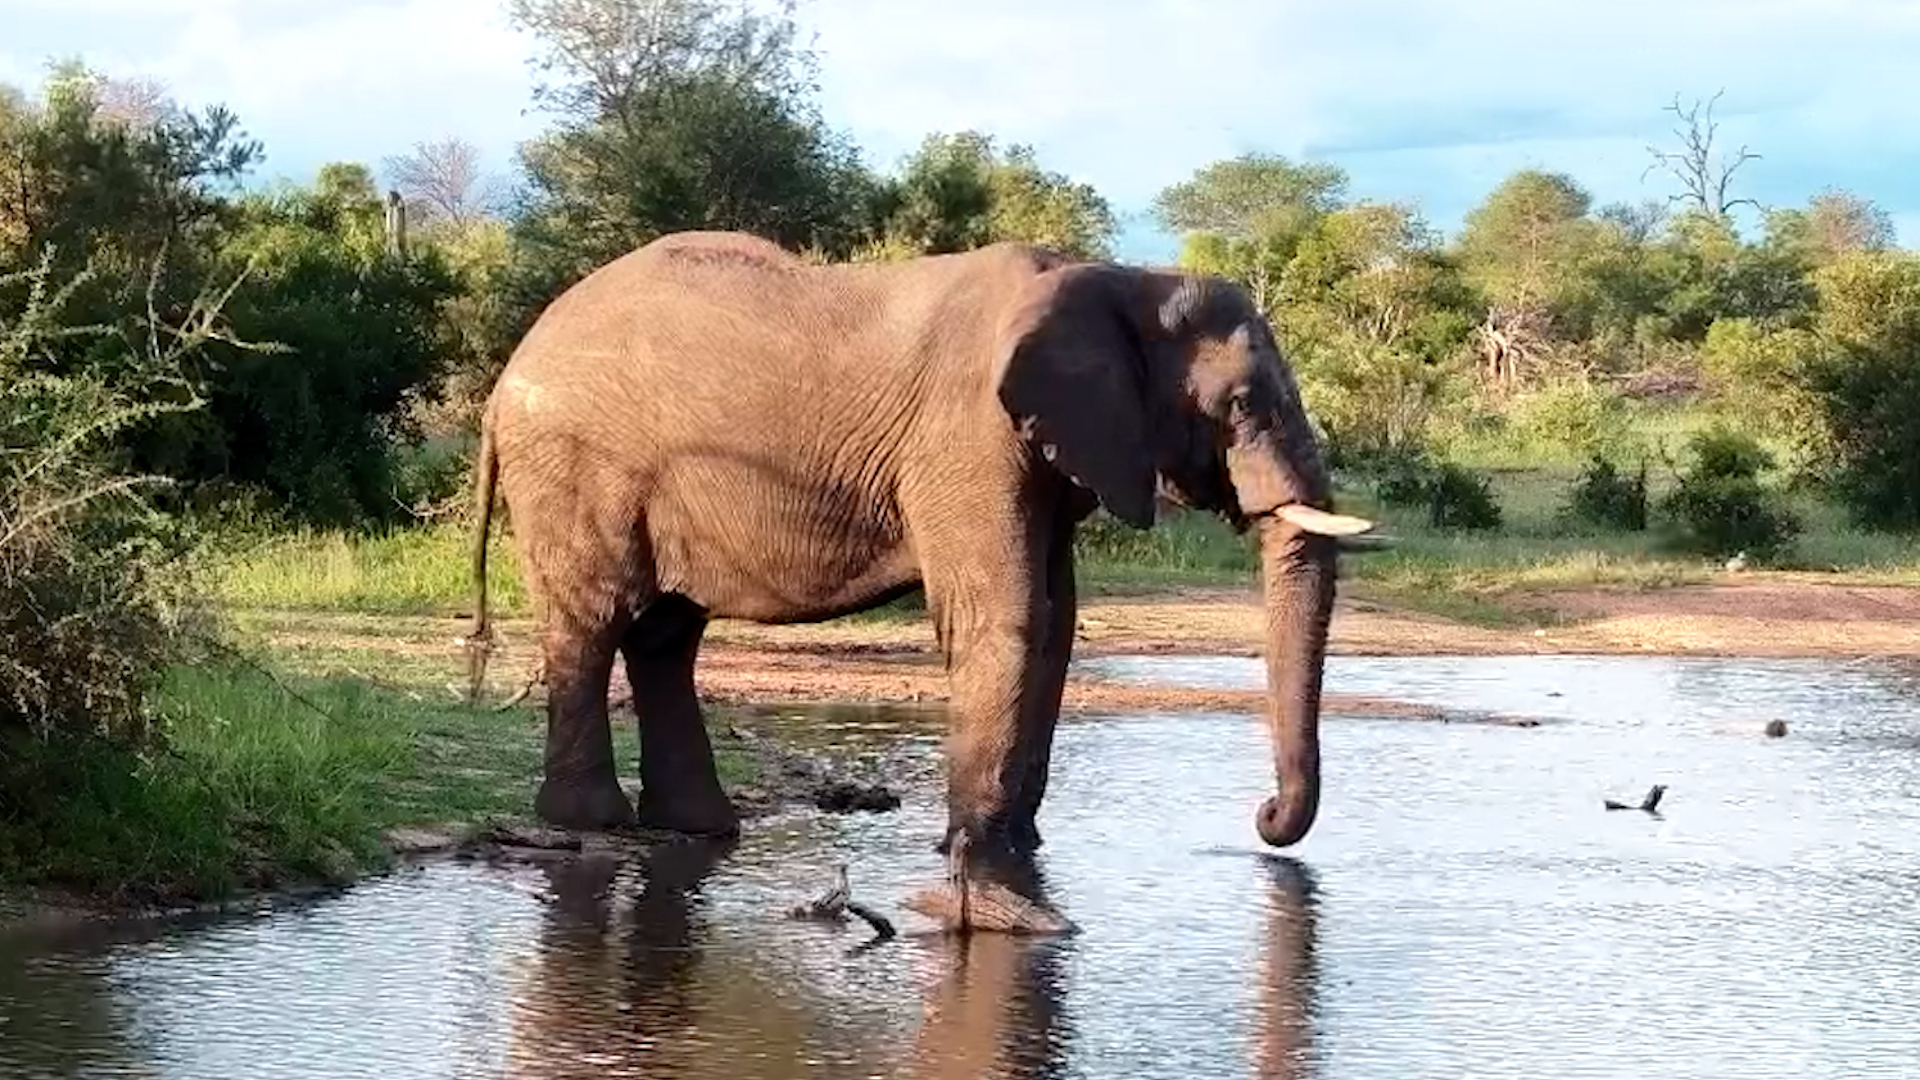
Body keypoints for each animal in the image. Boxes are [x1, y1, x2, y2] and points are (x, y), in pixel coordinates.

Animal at [465, 229, 1372, 869]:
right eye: (1242, 404)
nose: (1263, 819)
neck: (1119, 277)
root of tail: (504, 381)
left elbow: (1056, 623)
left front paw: (1015, 851)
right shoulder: (966, 434)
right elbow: (1005, 615)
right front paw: (978, 855)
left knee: (664, 635)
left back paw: (698, 828)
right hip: (576, 466)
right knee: (595, 620)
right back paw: (591, 823)